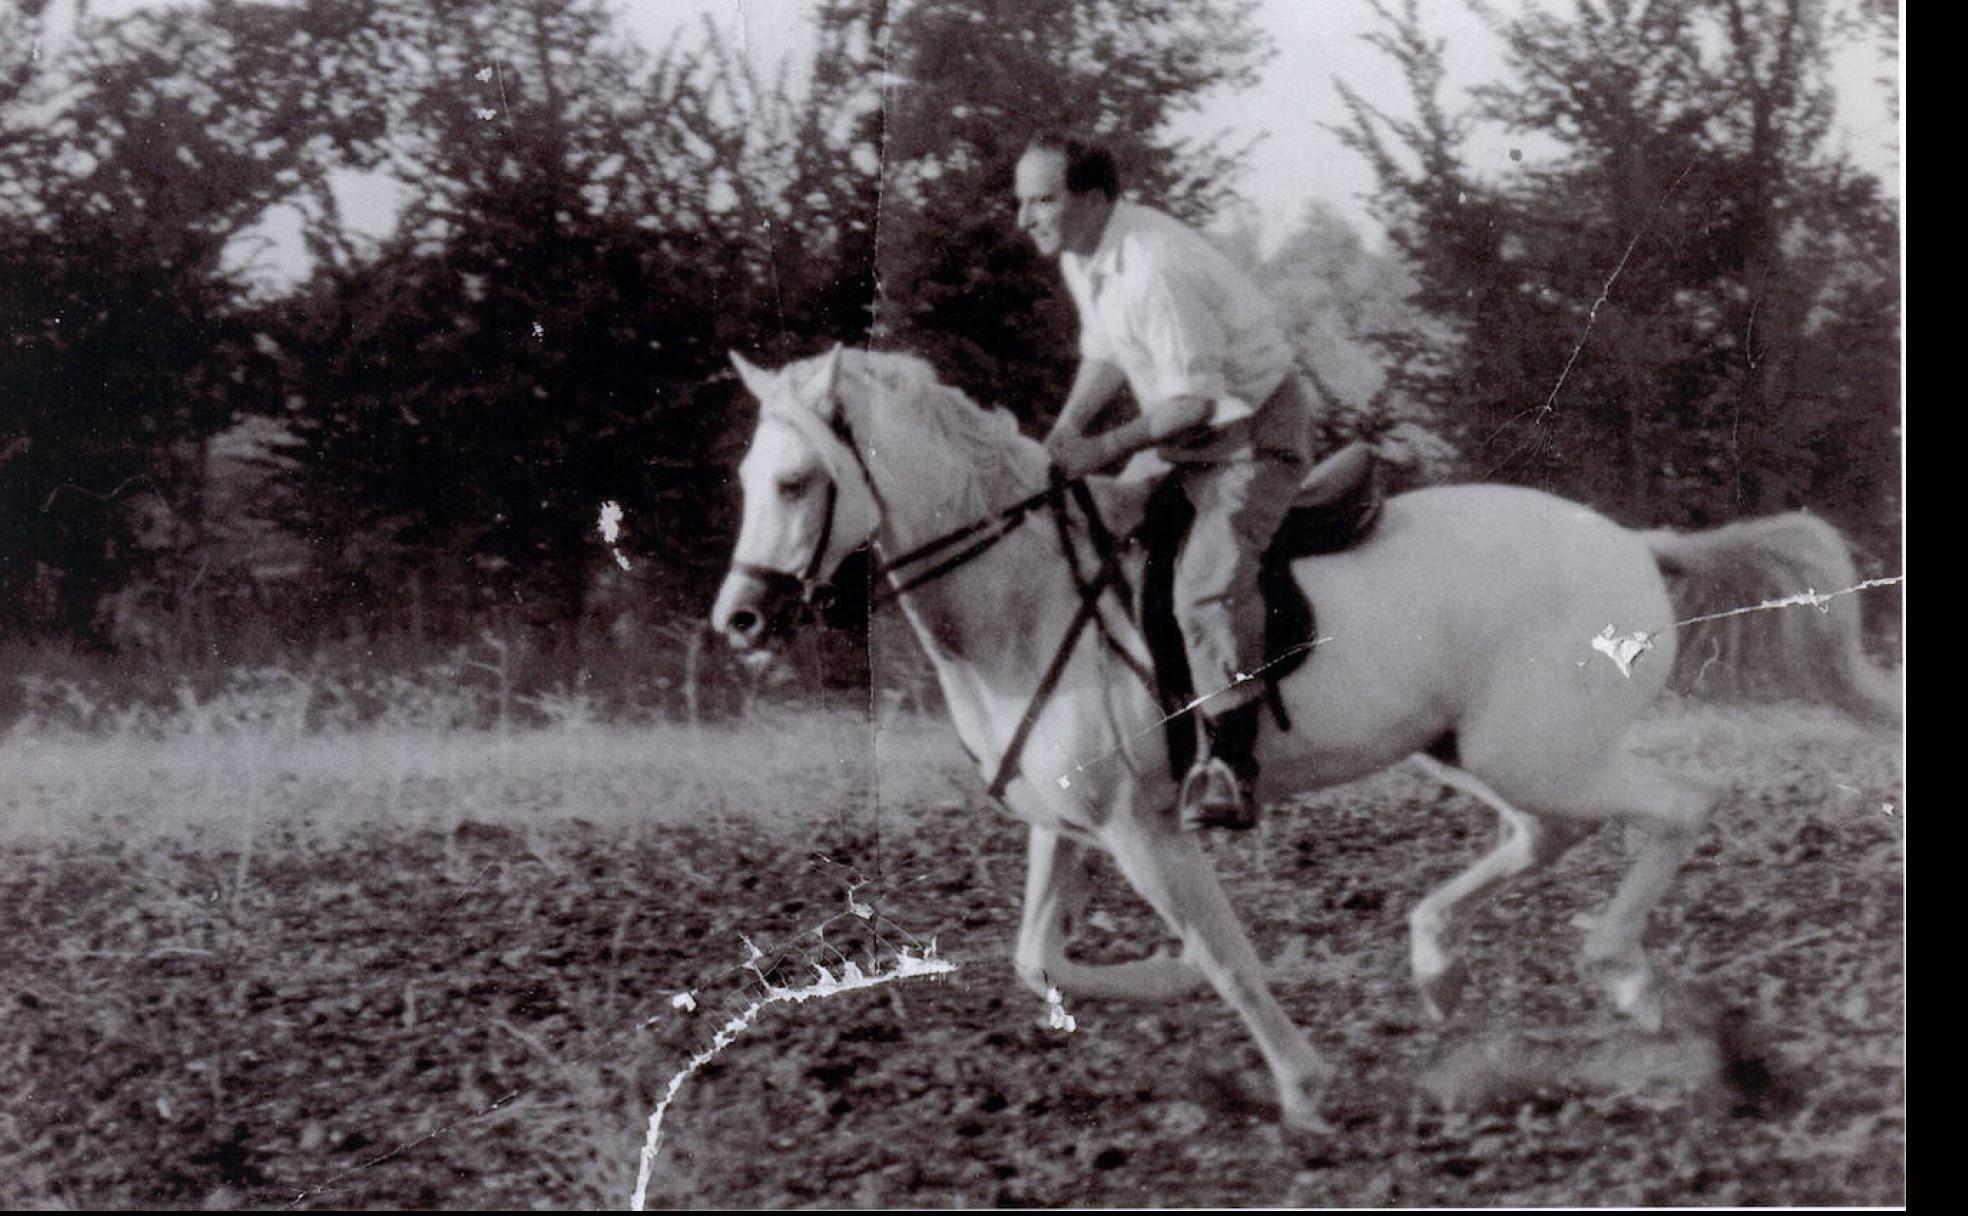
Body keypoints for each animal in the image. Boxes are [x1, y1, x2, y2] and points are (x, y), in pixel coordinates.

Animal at [712, 342, 1889, 1125]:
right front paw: (1173, 981)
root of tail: (1639, 544)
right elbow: (1039, 960)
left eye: (796, 482)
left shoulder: (1148, 831)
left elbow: (1226, 956)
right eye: (747, 481)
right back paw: (1436, 965)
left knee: (1680, 807)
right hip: (1477, 750)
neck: (1027, 598)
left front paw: (1300, 1081)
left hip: (1539, 750)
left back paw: (1624, 977)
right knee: (1546, 834)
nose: (740, 621)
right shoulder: (1071, 826)